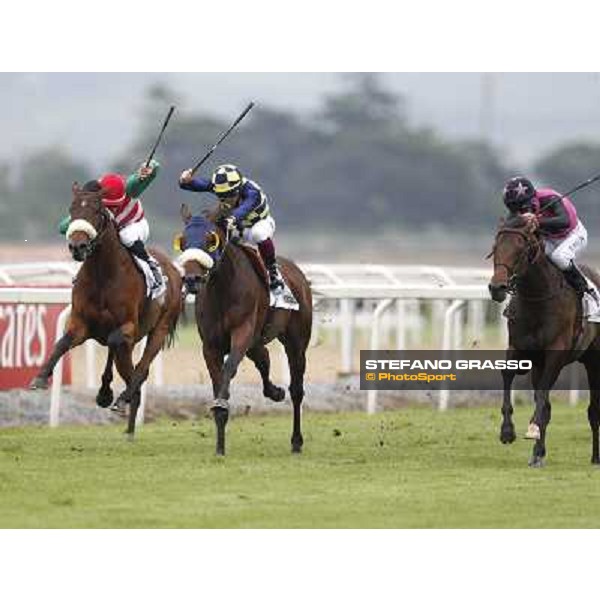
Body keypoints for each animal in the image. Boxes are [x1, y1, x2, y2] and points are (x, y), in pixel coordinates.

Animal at [31, 180, 180, 438]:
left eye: (96, 211)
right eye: (71, 210)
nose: (77, 246)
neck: (103, 274)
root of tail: (172, 267)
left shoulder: (128, 326)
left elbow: (115, 342)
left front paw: (110, 392)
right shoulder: (81, 325)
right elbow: (61, 343)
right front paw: (40, 378)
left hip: (160, 329)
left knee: (140, 369)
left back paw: (123, 399)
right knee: (129, 368)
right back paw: (127, 425)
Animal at [175, 203, 312, 454]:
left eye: (211, 240)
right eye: (183, 241)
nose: (191, 279)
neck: (222, 291)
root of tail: (297, 272)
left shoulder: (242, 333)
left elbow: (229, 368)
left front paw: (221, 406)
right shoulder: (210, 345)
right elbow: (218, 378)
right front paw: (219, 446)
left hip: (296, 342)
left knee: (297, 389)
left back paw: (296, 441)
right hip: (257, 341)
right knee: (263, 358)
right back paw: (275, 392)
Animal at [488, 216, 600, 468]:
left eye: (520, 249)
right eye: (495, 248)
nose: (497, 288)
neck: (537, 298)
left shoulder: (555, 354)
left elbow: (541, 397)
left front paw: (532, 430)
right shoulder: (518, 349)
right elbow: (508, 377)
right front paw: (507, 431)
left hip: (594, 362)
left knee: (594, 410)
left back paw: (596, 457)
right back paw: (537, 453)